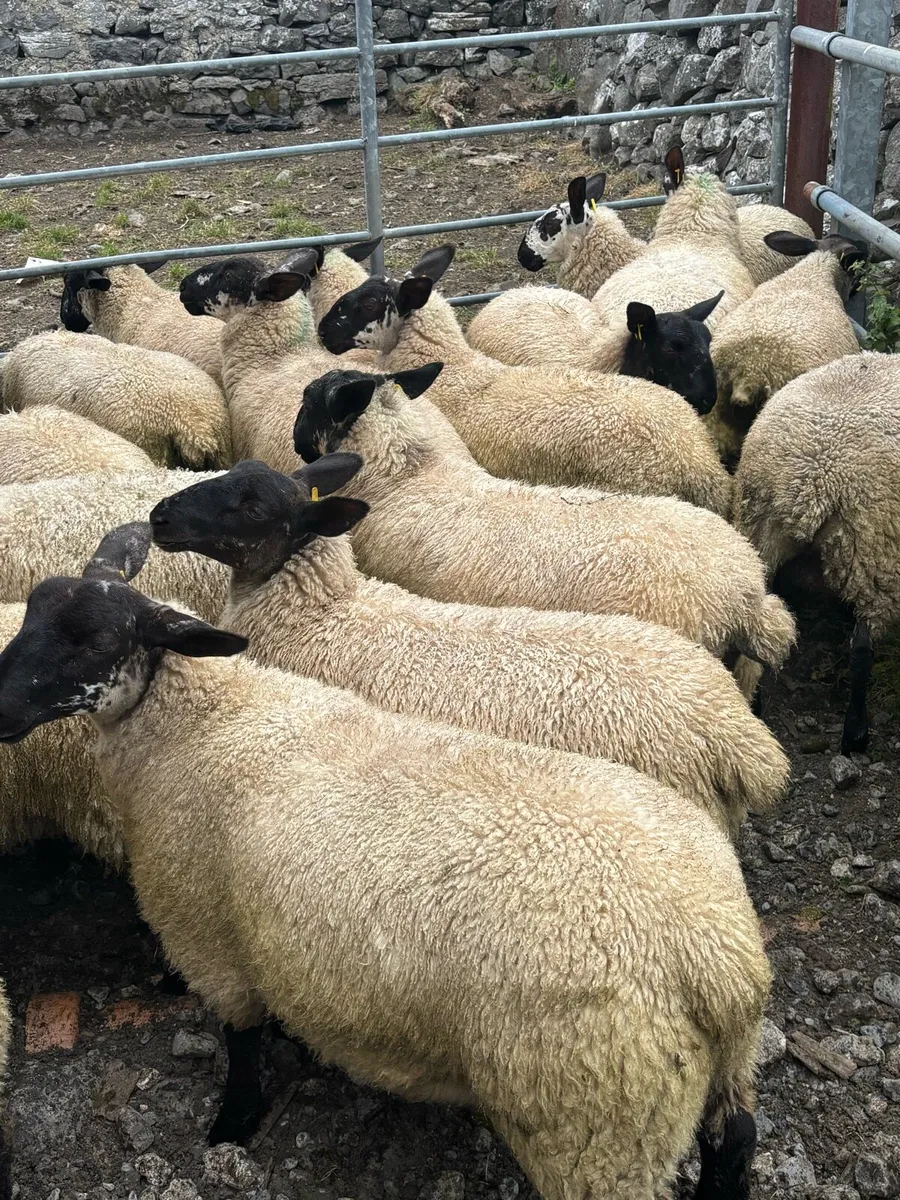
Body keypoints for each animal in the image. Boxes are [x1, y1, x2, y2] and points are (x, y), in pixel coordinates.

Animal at [0, 519, 771, 1199]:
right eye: (31, 613)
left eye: (98, 640)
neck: (205, 721)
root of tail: (717, 961)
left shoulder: (210, 942)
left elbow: (243, 1045)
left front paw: (230, 1130)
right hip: (720, 1073)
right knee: (735, 1139)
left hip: (595, 1127)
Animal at [734, 351, 900, 755]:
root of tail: (810, 479)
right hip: (871, 552)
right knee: (861, 650)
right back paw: (855, 734)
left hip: (759, 529)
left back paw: (755, 703)